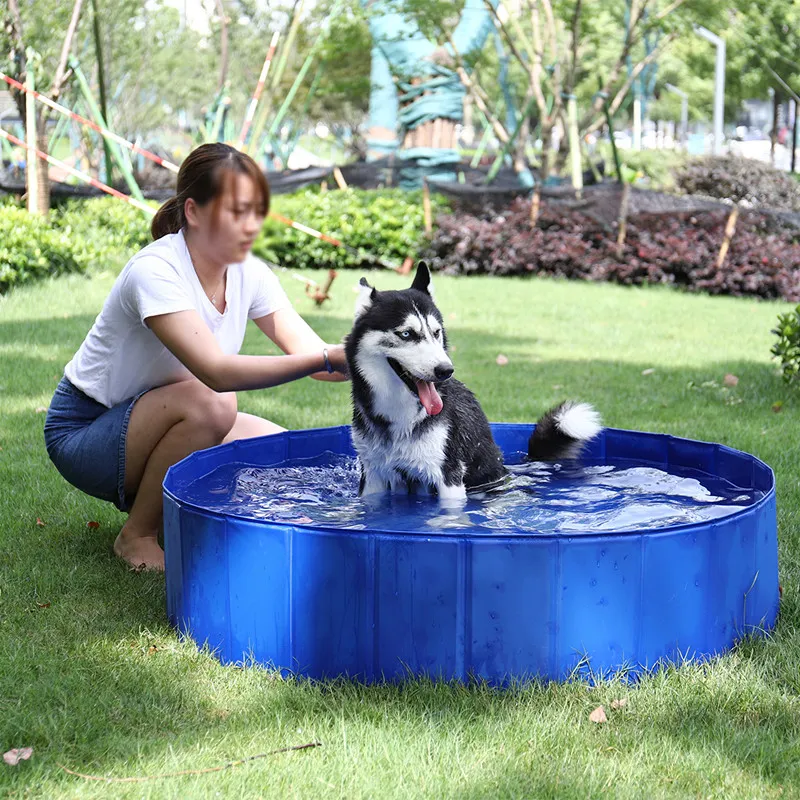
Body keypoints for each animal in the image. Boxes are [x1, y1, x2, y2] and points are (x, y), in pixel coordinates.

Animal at [344, 262, 600, 500]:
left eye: (436, 333)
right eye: (406, 334)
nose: (446, 370)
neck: (397, 414)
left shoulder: (448, 475)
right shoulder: (373, 475)